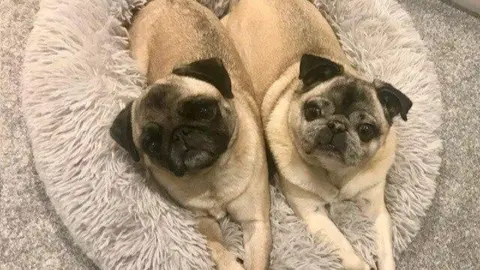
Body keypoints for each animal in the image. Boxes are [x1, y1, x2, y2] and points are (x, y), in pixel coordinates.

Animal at [110, 1, 272, 268]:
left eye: (205, 111)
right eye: (152, 144)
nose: (180, 134)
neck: (210, 176)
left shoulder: (256, 223)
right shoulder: (203, 223)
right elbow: (218, 250)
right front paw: (231, 260)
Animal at [222, 0, 412, 270]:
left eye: (365, 130)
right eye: (313, 111)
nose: (337, 125)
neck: (335, 174)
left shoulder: (377, 211)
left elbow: (385, 252)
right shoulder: (313, 213)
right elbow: (346, 248)